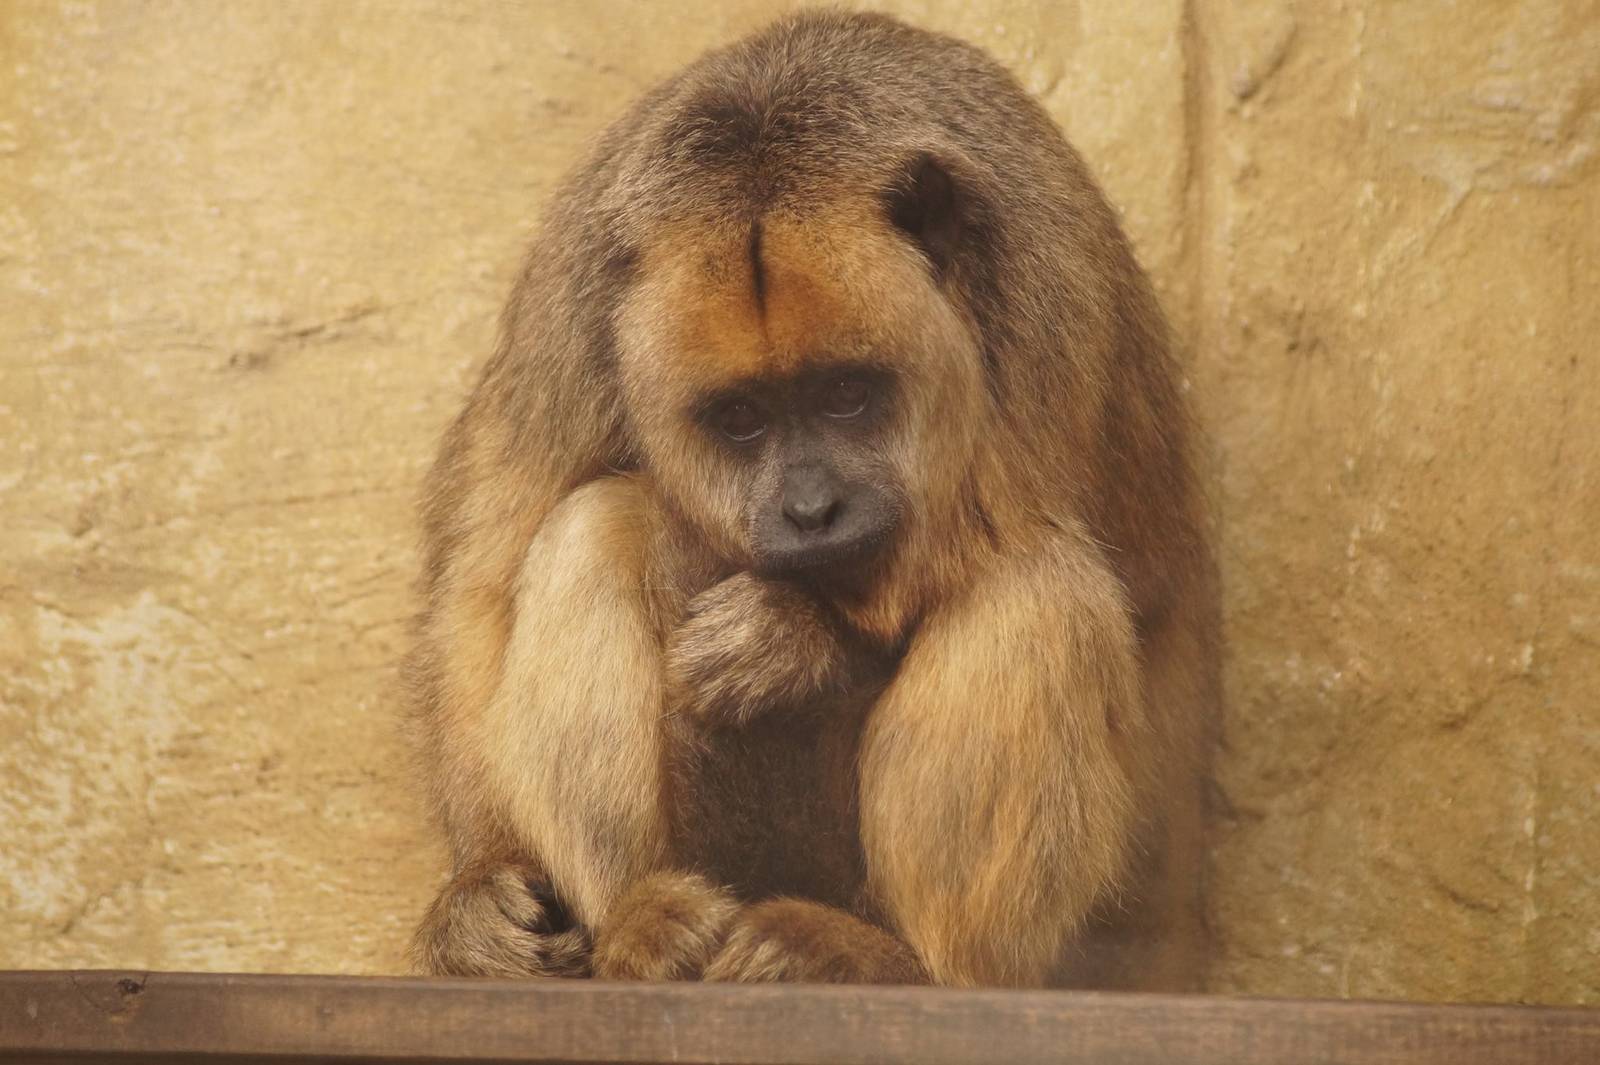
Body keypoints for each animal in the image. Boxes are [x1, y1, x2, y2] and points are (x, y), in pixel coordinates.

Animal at [404, 9, 1218, 990]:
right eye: (742, 418)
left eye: (846, 395)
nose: (809, 511)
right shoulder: (572, 309)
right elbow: (483, 582)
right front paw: (481, 891)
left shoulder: (1044, 300)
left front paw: (789, 638)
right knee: (589, 529)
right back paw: (643, 918)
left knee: (1042, 592)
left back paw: (906, 962)